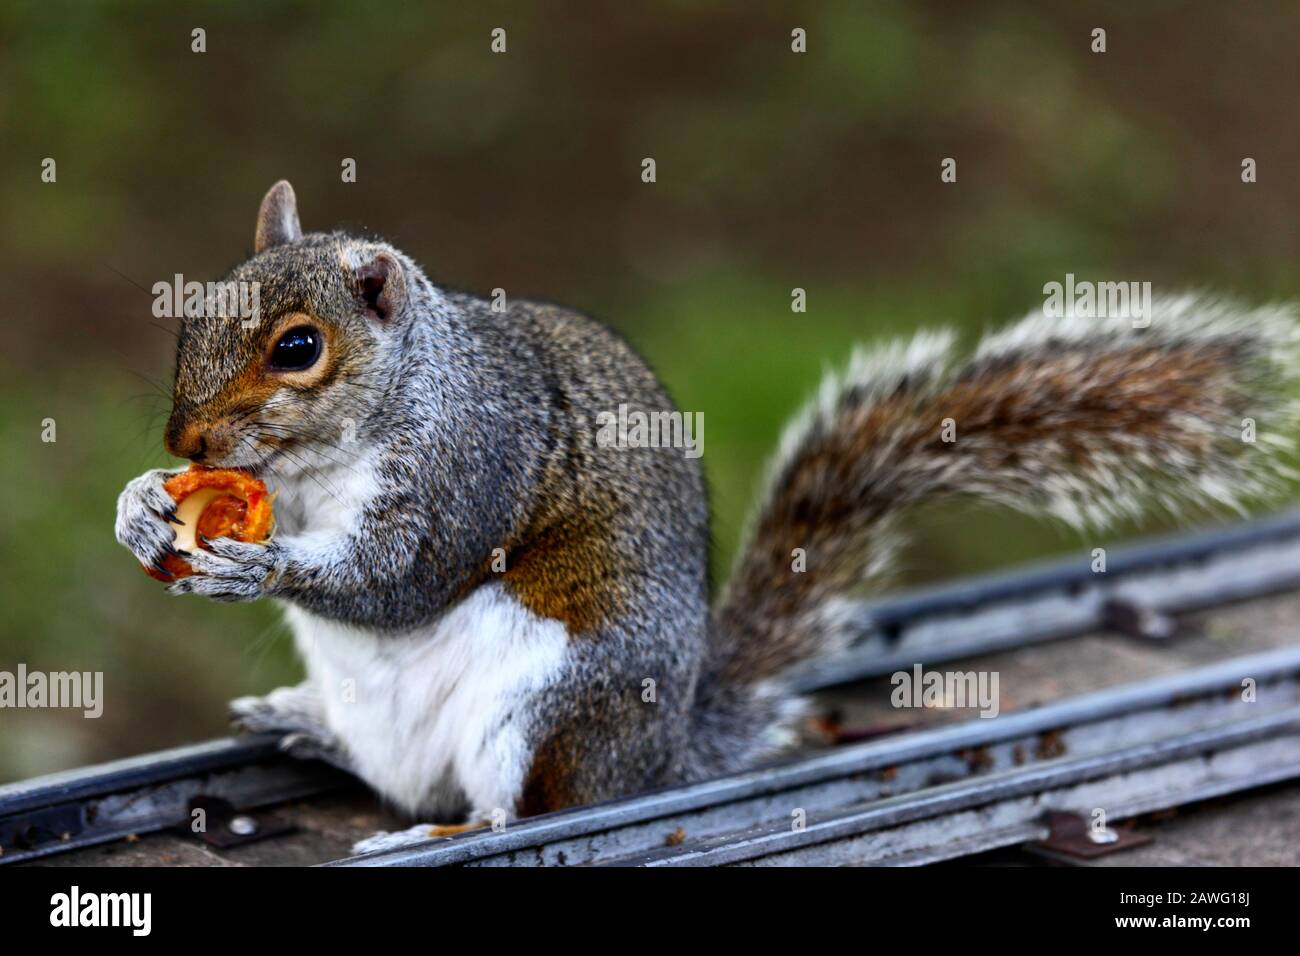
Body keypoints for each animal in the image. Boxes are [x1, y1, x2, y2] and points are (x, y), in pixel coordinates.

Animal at [116, 180, 1300, 848]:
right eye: (192, 314)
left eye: (299, 347)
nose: (186, 443)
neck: (321, 461)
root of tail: (660, 756)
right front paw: (140, 506)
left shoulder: (467, 466)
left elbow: (399, 577)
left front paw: (255, 566)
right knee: (390, 772)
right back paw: (308, 725)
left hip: (551, 699)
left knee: (518, 809)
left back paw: (435, 833)